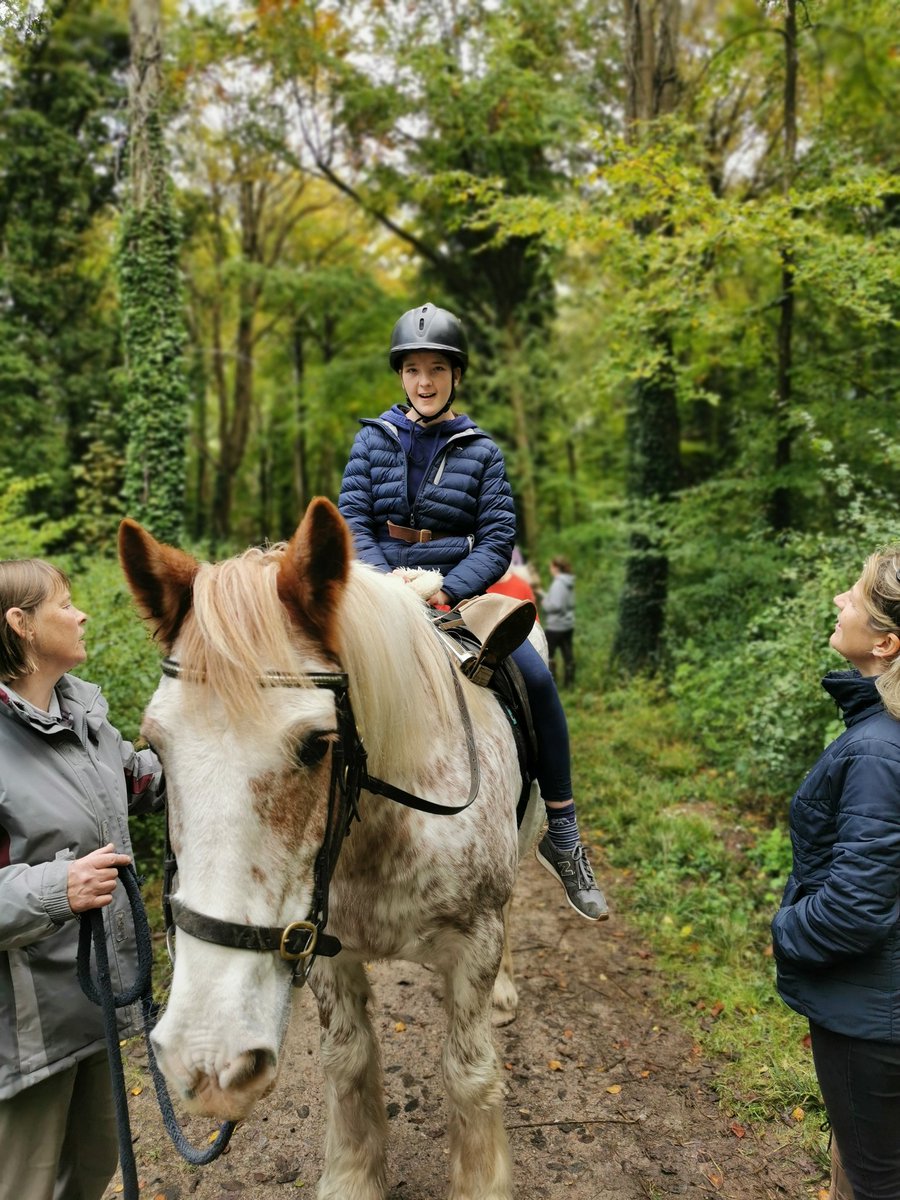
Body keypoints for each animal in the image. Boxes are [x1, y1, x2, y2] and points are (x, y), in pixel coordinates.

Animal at [118, 496, 544, 1200]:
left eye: (318, 744)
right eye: (155, 742)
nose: (203, 1056)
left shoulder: (474, 941)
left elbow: (469, 1072)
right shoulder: (320, 946)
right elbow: (348, 1063)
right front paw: (352, 1177)